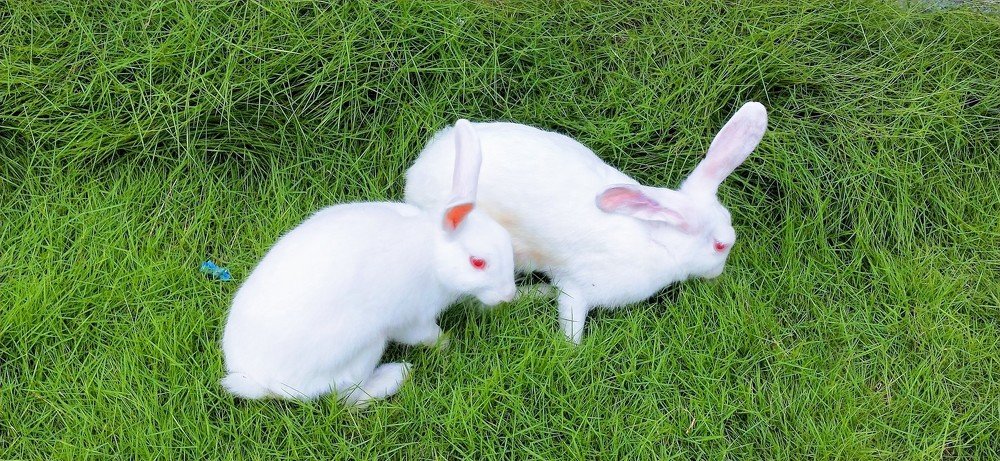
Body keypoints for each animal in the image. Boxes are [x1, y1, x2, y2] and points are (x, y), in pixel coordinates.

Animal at [221, 120, 516, 404]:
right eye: (477, 262)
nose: (508, 295)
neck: (434, 256)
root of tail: (259, 381)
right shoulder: (412, 318)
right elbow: (425, 334)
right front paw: (445, 343)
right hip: (364, 350)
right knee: (350, 398)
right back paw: (396, 374)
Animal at [404, 102, 767, 344]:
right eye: (720, 245)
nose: (718, 274)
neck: (655, 240)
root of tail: (416, 173)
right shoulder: (578, 288)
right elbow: (571, 317)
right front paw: (573, 350)